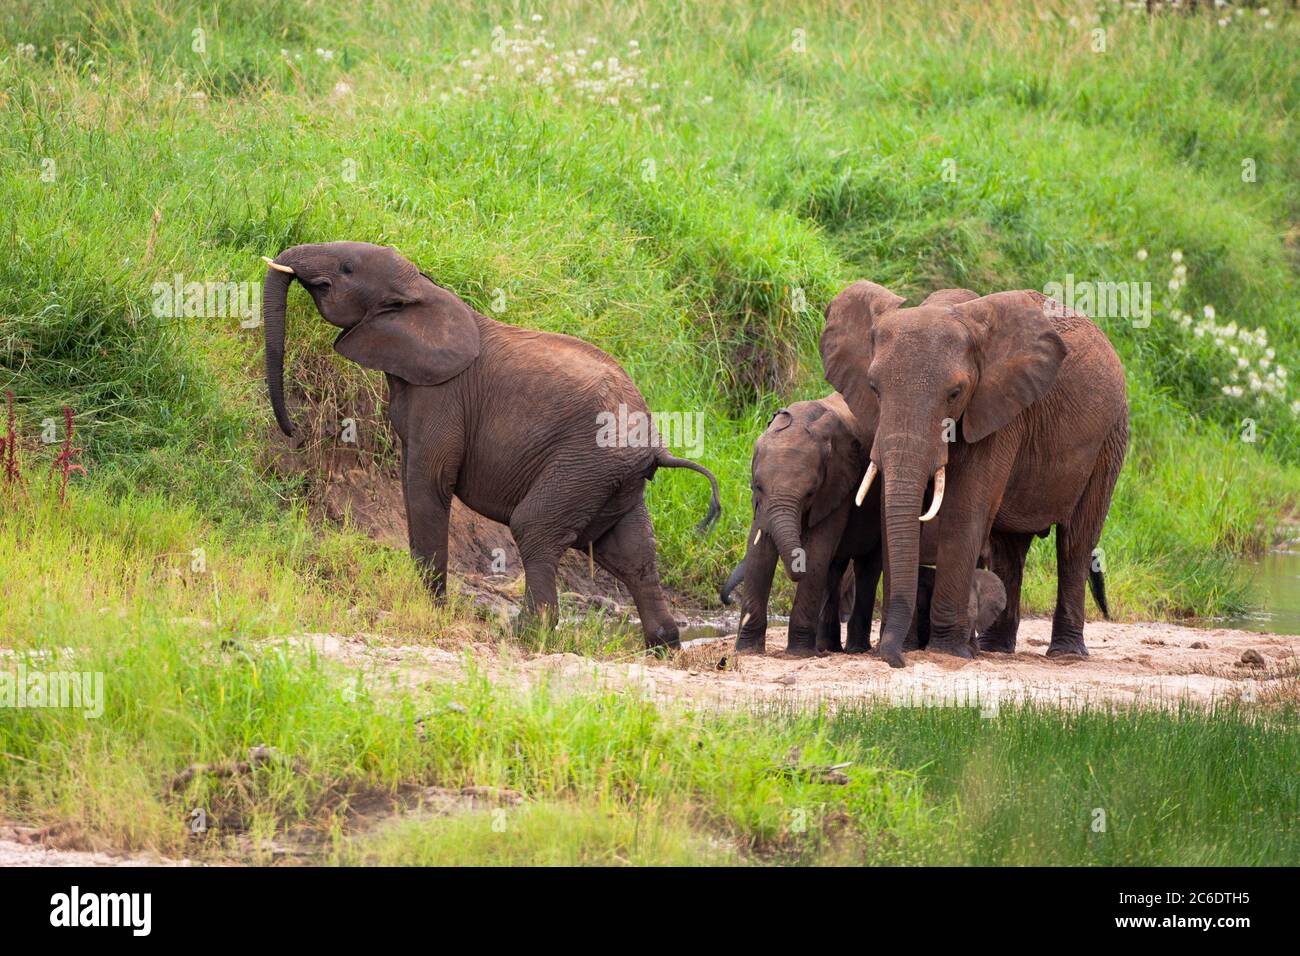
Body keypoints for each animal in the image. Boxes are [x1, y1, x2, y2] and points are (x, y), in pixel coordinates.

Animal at [256, 239, 722, 650]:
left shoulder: (444, 396)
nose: (291, 430)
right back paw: (663, 645)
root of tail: (657, 444)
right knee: (630, 552)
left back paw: (525, 636)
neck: (424, 288)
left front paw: (432, 609)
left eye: (347, 268)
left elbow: (427, 485)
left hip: (584, 463)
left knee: (535, 527)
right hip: (612, 478)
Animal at [717, 390, 878, 658]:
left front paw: (799, 653)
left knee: (866, 566)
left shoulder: (838, 487)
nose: (728, 600)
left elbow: (818, 550)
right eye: (756, 486)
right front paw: (747, 650)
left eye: (811, 492)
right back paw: (827, 647)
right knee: (836, 568)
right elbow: (759, 549)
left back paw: (853, 649)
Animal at [821, 280, 1128, 665]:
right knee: (1009, 547)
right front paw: (913, 646)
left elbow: (964, 511)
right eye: (874, 388)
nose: (894, 657)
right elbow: (891, 512)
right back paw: (996, 648)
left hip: (1110, 438)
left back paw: (1066, 654)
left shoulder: (1000, 413)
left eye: (955, 393)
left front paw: (946, 651)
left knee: (1076, 540)